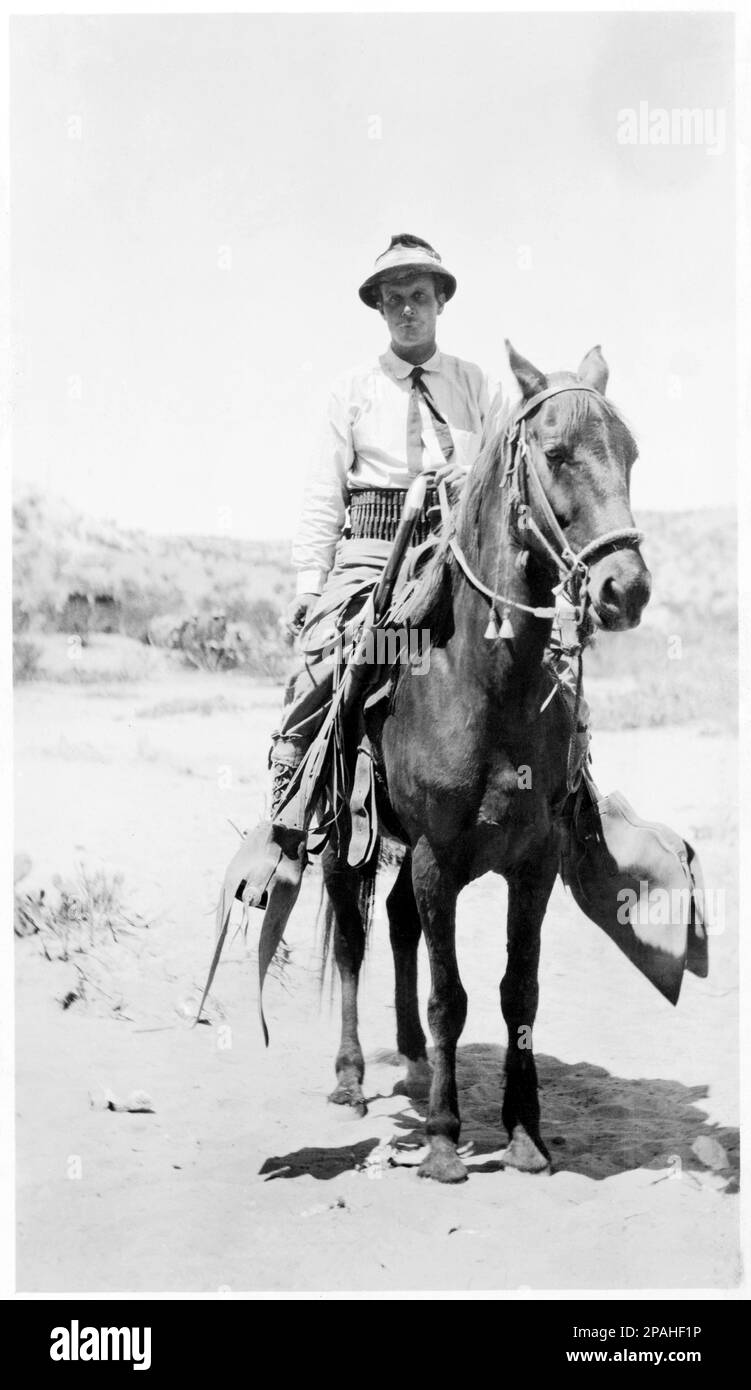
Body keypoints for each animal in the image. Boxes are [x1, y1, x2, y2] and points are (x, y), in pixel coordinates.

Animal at [321, 344, 650, 1184]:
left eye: (630, 454)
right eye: (557, 453)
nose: (625, 590)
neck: (488, 683)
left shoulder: (534, 862)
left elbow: (516, 994)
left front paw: (525, 1133)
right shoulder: (439, 857)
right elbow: (452, 996)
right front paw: (443, 1139)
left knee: (396, 922)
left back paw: (410, 1061)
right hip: (345, 838)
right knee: (353, 936)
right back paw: (351, 1077)